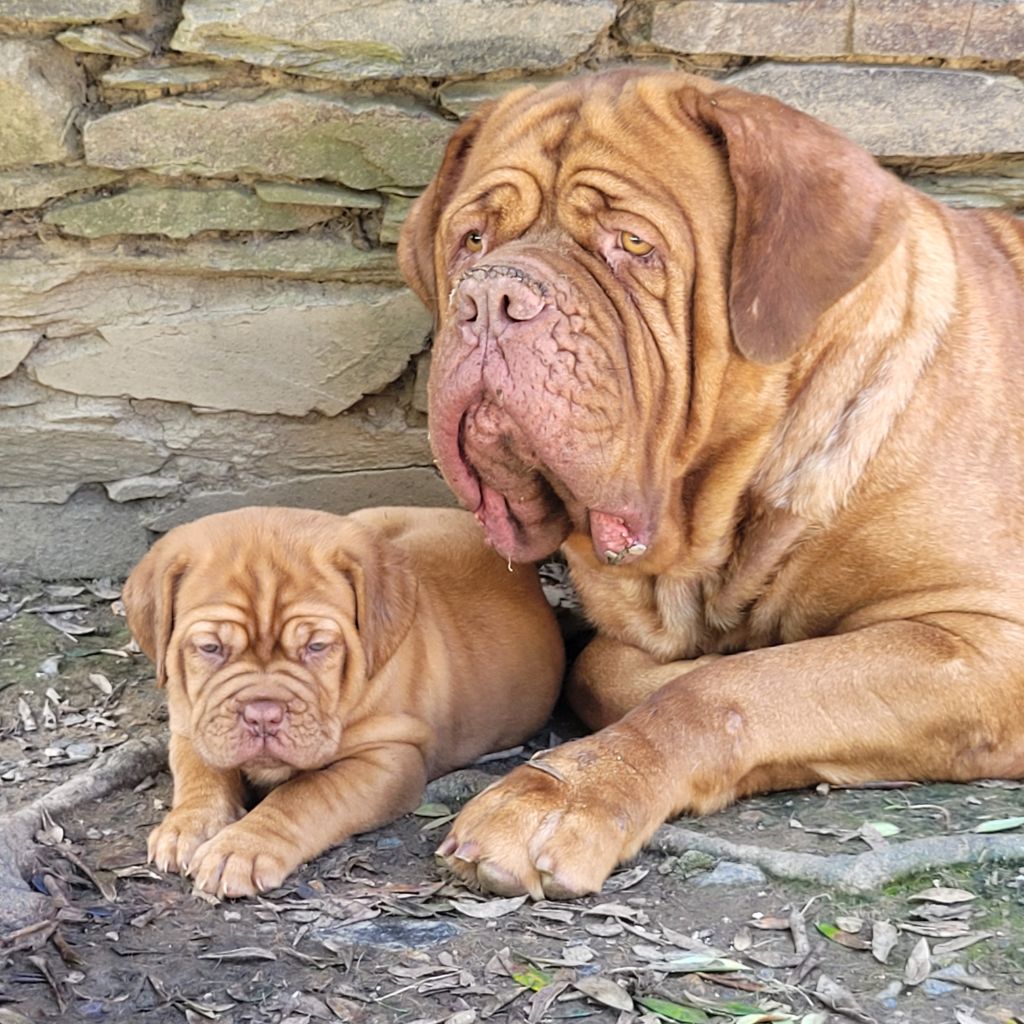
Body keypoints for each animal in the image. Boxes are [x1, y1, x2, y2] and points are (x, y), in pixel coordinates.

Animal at [125, 503, 569, 897]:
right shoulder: (192, 724)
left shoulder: (387, 758)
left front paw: (240, 848)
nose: (263, 715)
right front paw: (187, 826)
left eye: (317, 646)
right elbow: (200, 774)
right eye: (210, 648)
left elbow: (305, 795)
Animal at [395, 68, 1024, 897]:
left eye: (633, 244)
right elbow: (606, 668)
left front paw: (565, 791)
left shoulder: (985, 637)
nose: (488, 298)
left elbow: (718, 689)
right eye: (472, 240)